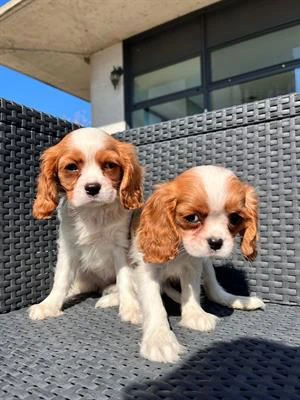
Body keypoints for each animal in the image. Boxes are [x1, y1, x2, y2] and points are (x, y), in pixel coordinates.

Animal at [28, 127, 144, 322]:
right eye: (71, 167)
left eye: (110, 165)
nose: (92, 187)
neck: (93, 213)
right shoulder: (68, 247)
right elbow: (61, 279)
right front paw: (49, 305)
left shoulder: (121, 246)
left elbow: (125, 279)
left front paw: (131, 308)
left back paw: (110, 295)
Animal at [132, 165, 264, 362]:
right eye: (192, 218)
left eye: (234, 218)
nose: (216, 242)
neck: (179, 247)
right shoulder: (147, 270)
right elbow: (154, 304)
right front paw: (160, 339)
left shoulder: (193, 265)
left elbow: (192, 291)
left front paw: (195, 315)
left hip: (206, 264)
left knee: (213, 289)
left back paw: (237, 300)